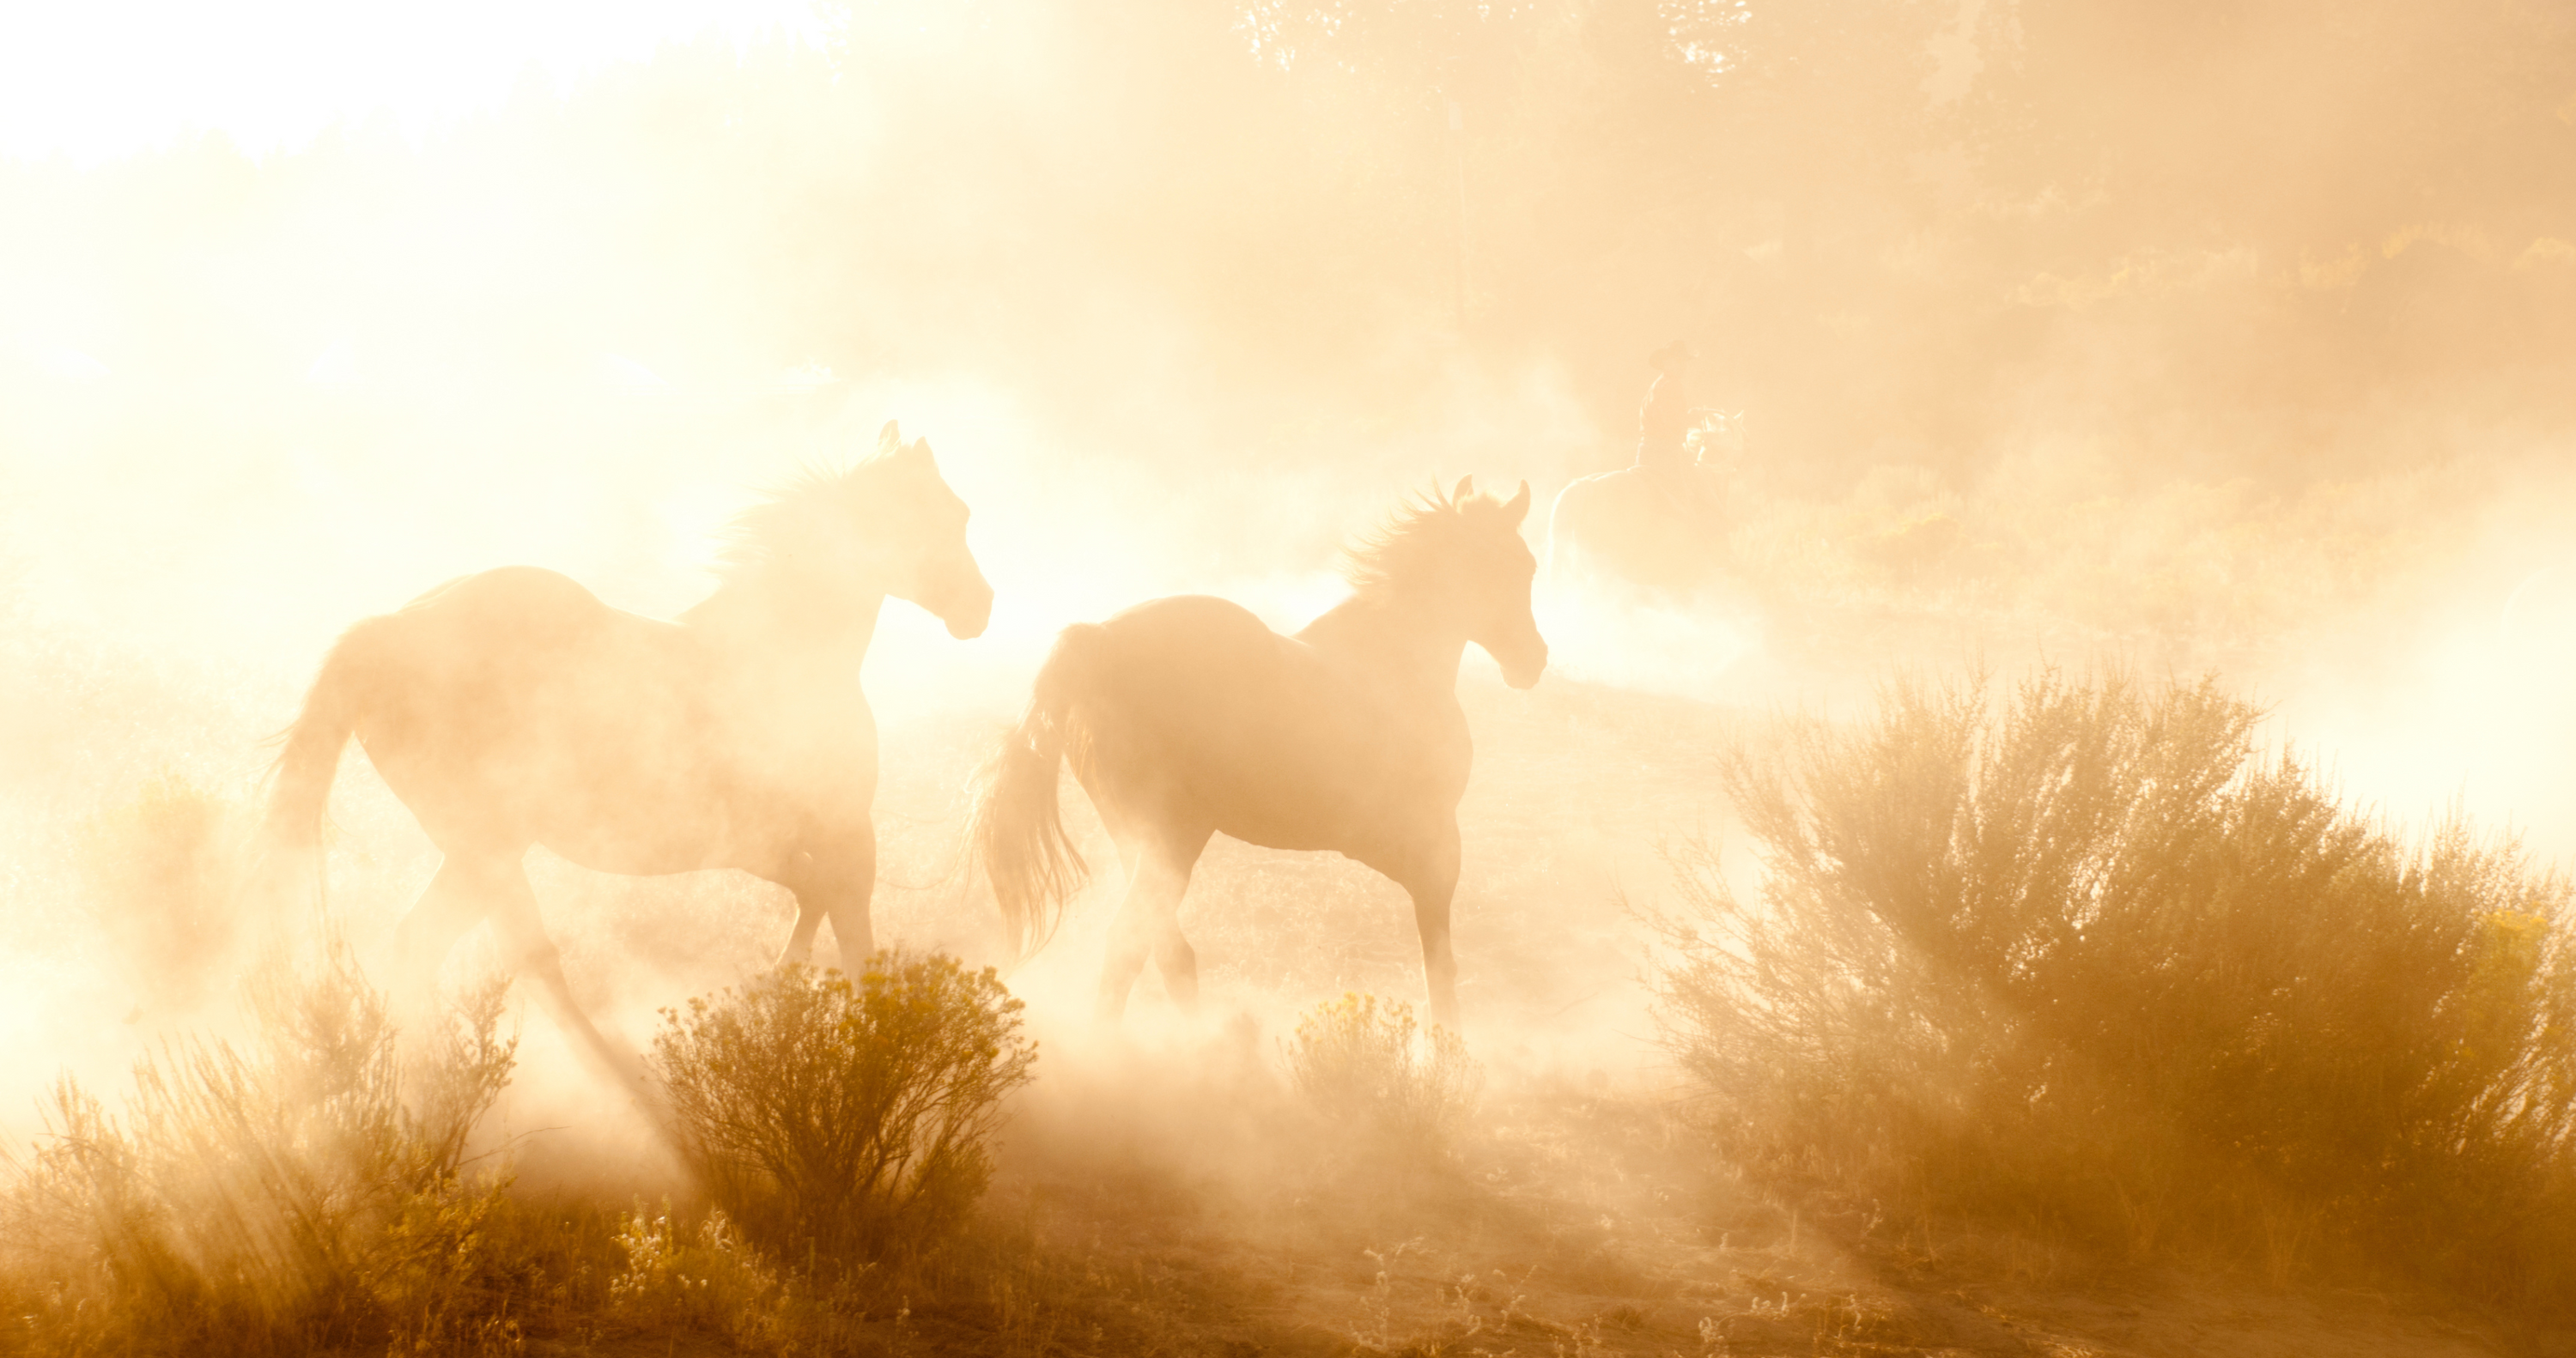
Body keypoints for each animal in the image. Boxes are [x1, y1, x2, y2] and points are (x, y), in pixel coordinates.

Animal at [258, 420, 984, 1087]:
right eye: (949, 515)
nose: (982, 608)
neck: (783, 649)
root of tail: (390, 631)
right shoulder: (837, 834)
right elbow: (854, 937)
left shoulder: (769, 844)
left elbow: (815, 906)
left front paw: (773, 999)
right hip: (488, 844)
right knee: (473, 953)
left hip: (483, 851)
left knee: (464, 951)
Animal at [969, 479, 1535, 1030]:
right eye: (1522, 565)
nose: (1535, 658)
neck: (1395, 661)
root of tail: (1098, 640)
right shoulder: (1434, 846)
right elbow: (1439, 967)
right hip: (1174, 836)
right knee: (1130, 943)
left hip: (1141, 840)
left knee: (1167, 950)